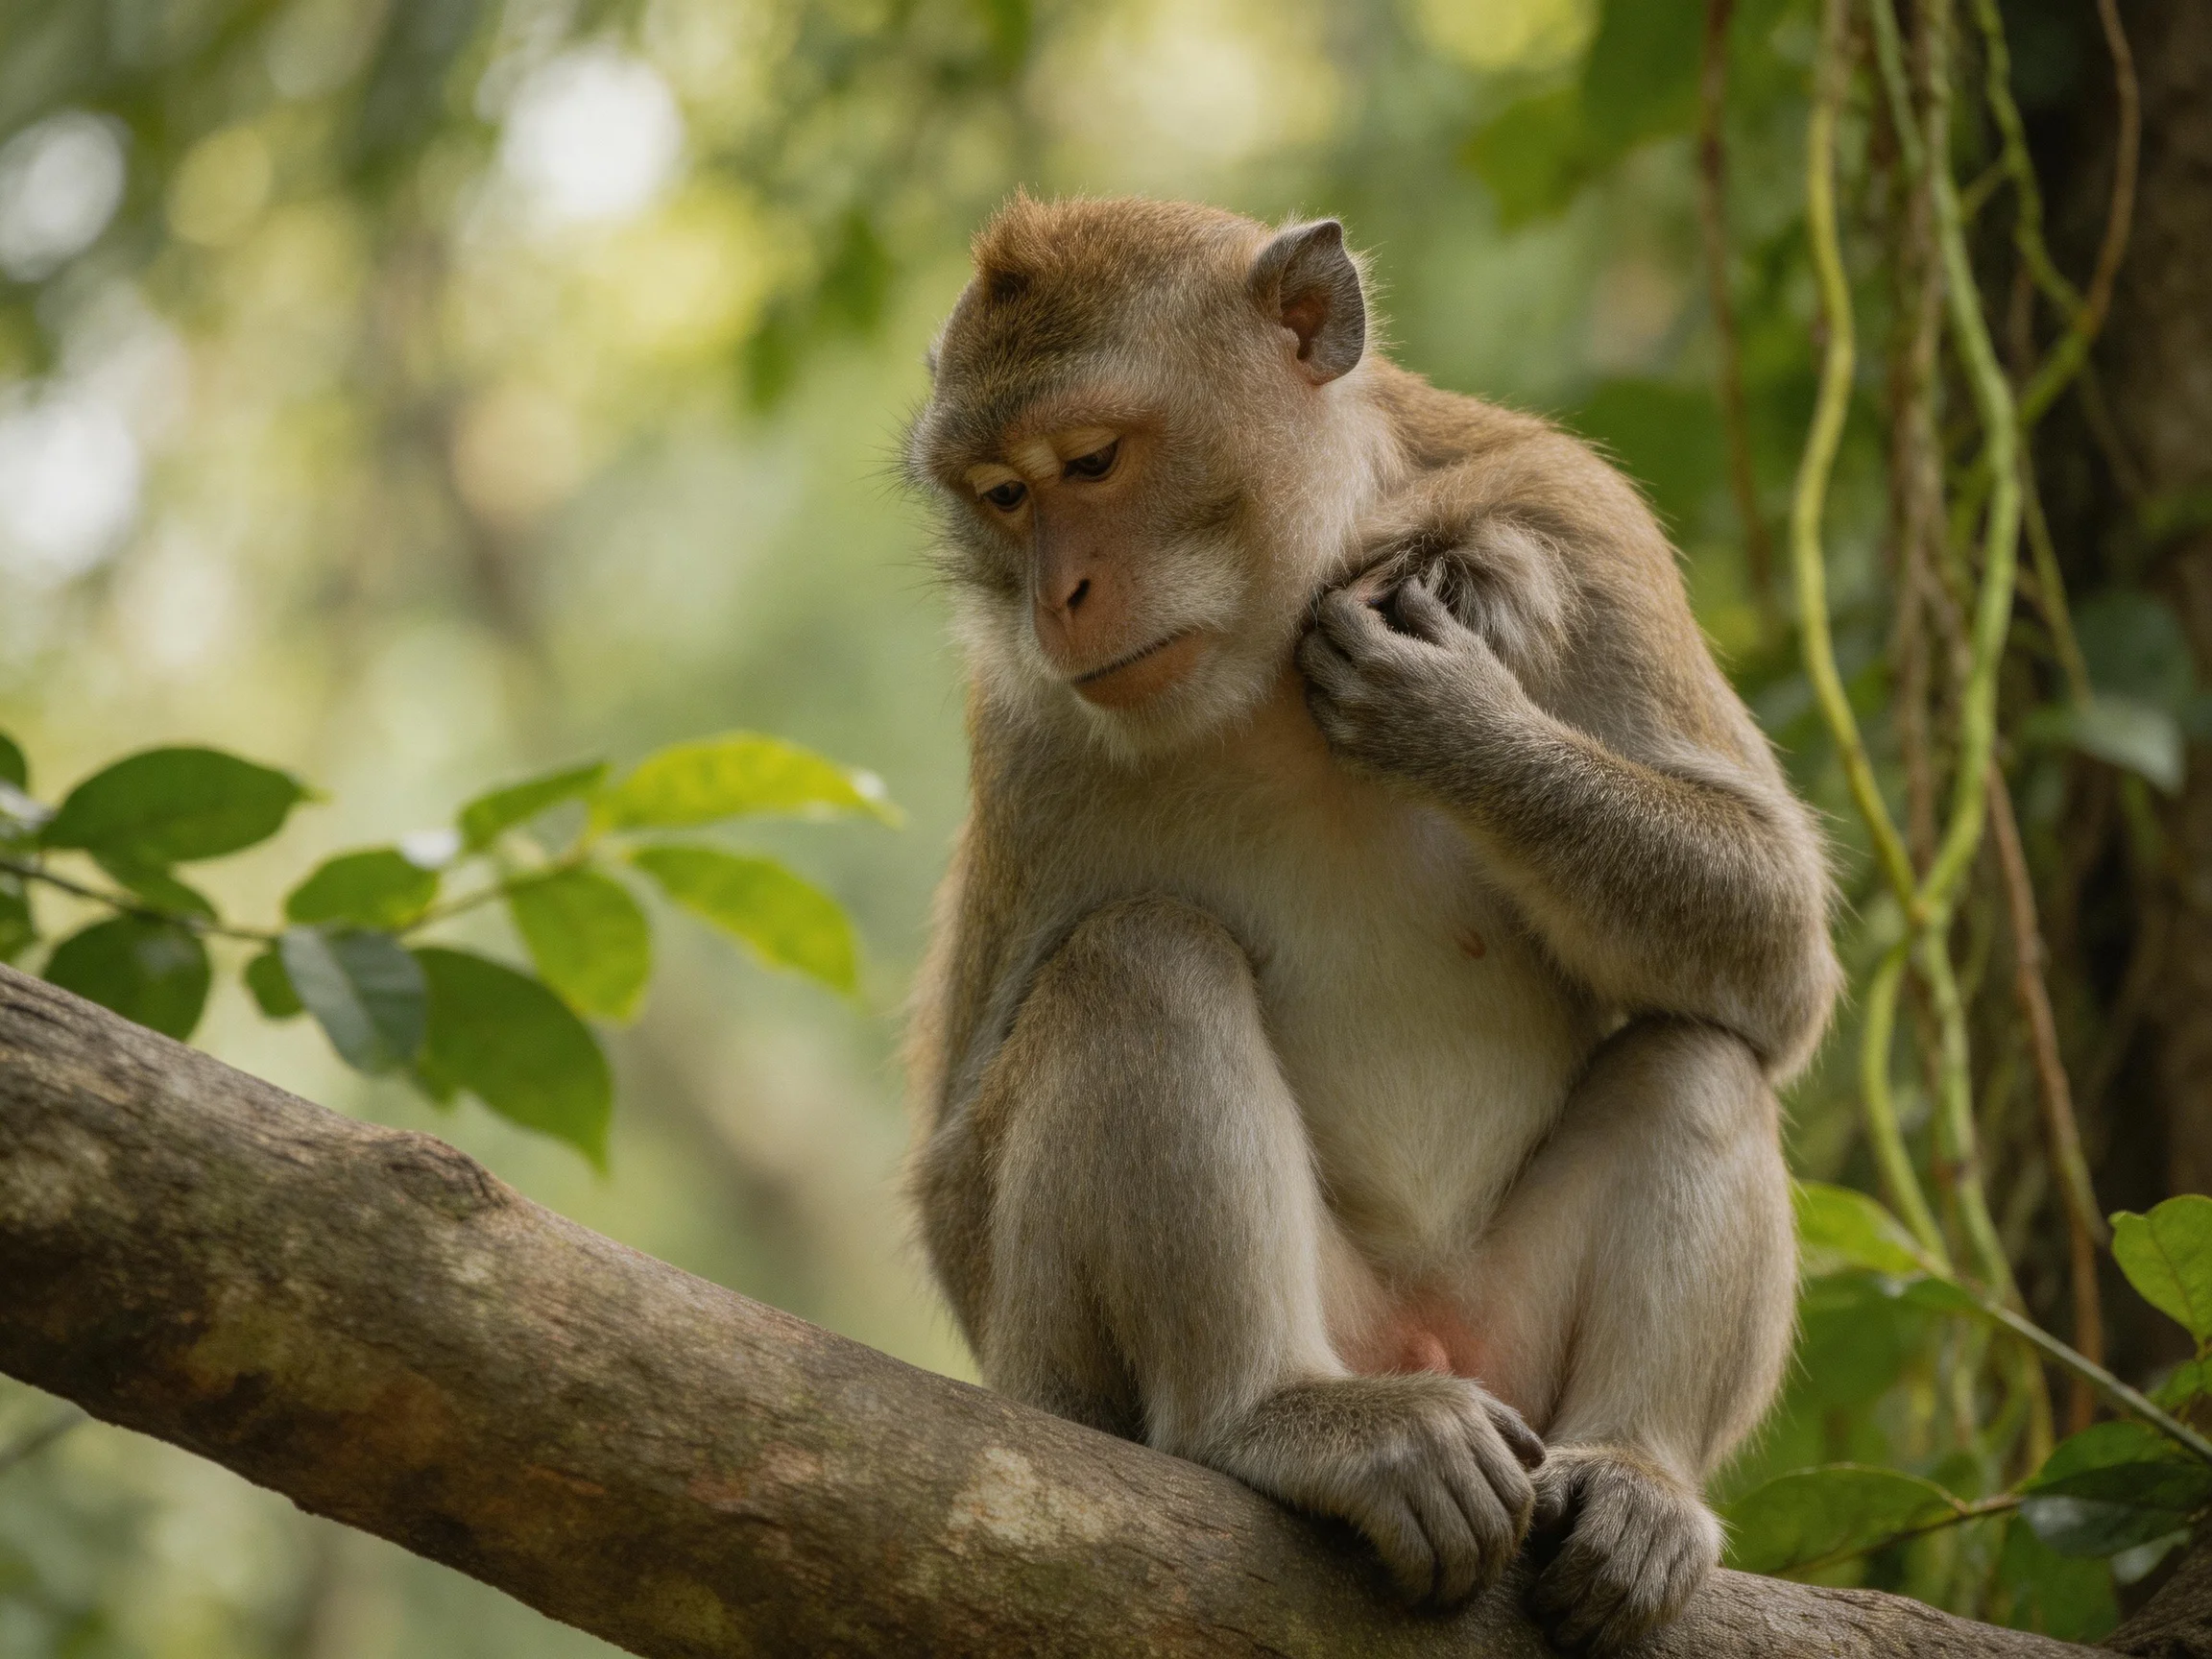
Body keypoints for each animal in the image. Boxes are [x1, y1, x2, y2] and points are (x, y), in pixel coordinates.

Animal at [901, 195, 1836, 1655]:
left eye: (1092, 462)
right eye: (1005, 496)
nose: (1059, 598)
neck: (1264, 651)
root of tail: (1424, 1344)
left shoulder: (1582, 522)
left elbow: (1777, 945)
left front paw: (1453, 711)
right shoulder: (1027, 726)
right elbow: (955, 1175)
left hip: (1513, 1345)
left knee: (1702, 1054)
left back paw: (1638, 1476)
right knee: (1140, 960)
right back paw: (1276, 1415)